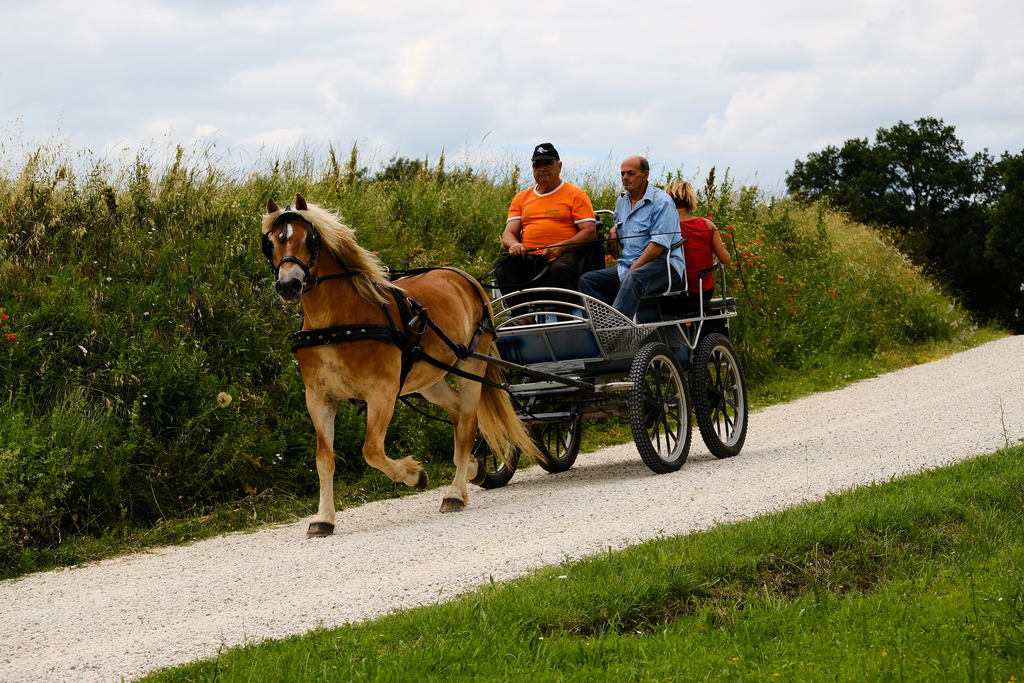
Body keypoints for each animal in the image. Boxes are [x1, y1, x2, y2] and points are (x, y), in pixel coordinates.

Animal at [261, 194, 541, 537]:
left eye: (308, 239)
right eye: (271, 242)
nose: (289, 285)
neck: (336, 324)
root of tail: (466, 278)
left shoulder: (381, 393)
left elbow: (371, 450)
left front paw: (415, 475)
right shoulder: (318, 398)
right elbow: (324, 458)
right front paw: (324, 518)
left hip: (472, 365)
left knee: (466, 426)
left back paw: (455, 493)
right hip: (429, 378)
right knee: (458, 411)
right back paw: (472, 469)